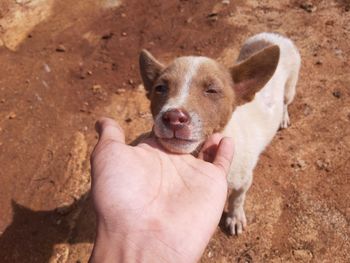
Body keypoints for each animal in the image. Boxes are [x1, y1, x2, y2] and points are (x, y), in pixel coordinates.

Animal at [139, 32, 300, 236]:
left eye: (212, 90)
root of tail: (272, 35)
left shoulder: (245, 180)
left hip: (290, 87)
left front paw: (235, 217)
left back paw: (283, 117)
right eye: (160, 88)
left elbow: (236, 199)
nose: (173, 118)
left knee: (286, 102)